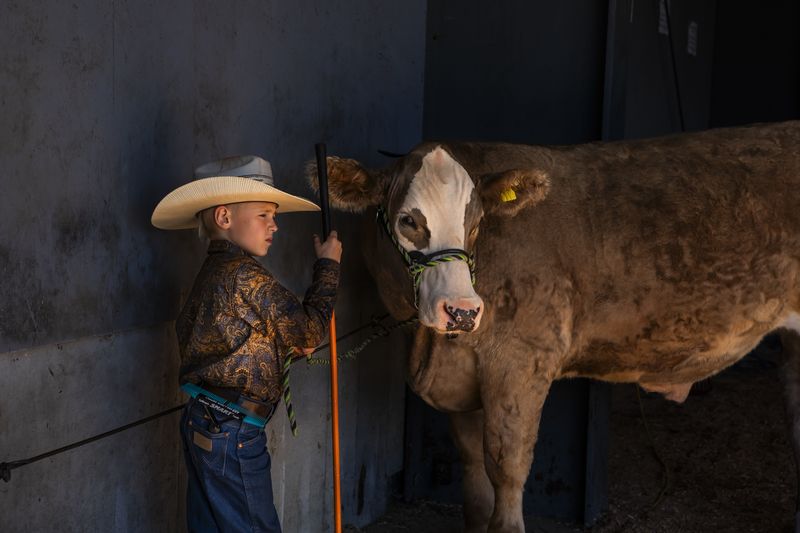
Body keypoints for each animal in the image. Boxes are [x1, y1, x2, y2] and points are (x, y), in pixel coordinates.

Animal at [309, 121, 800, 532]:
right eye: (408, 220)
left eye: (477, 223)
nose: (462, 311)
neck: (430, 349)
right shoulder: (466, 380)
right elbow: (474, 483)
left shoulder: (521, 362)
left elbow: (506, 470)